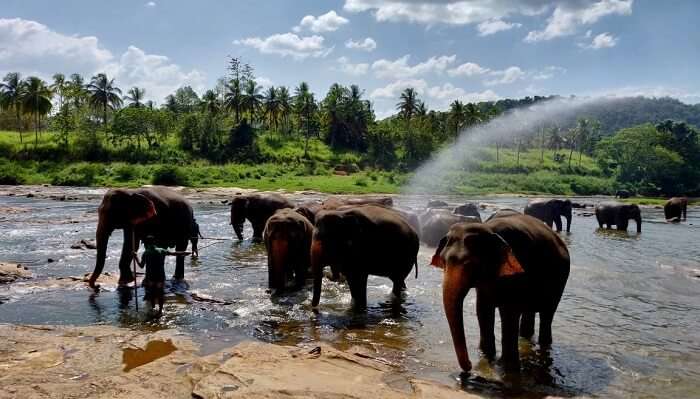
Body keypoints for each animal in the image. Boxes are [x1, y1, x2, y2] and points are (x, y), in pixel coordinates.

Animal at [432, 214, 568, 374]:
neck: (489, 229)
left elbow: (509, 313)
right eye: (443, 261)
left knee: (547, 315)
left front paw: (508, 367)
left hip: (559, 282)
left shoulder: (518, 270)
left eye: (470, 264)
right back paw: (525, 338)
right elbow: (483, 310)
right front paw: (486, 356)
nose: (470, 366)